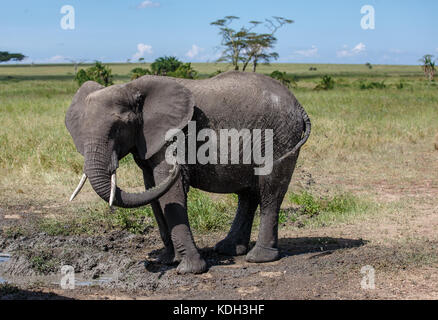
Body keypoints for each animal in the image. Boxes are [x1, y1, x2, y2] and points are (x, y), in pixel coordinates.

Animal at [66, 71, 312, 274]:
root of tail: (299, 105)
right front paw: (166, 260)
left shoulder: (169, 137)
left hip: (279, 137)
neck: (131, 89)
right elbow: (152, 190)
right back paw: (228, 250)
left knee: (270, 190)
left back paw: (259, 258)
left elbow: (169, 191)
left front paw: (188, 270)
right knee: (249, 194)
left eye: (118, 128)